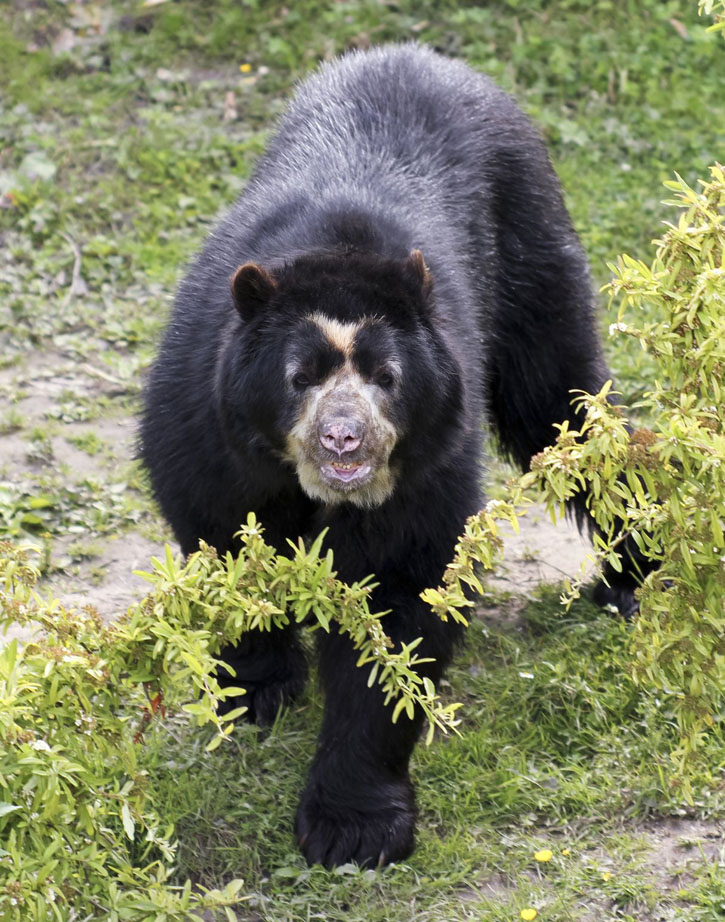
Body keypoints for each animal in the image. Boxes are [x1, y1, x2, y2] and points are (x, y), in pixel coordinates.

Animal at [141, 41, 644, 864]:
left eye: (387, 376)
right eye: (300, 375)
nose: (344, 438)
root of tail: (423, 56)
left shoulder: (428, 462)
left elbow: (402, 594)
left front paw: (352, 829)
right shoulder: (204, 420)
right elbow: (222, 533)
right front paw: (258, 690)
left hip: (533, 253)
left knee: (565, 408)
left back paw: (635, 580)